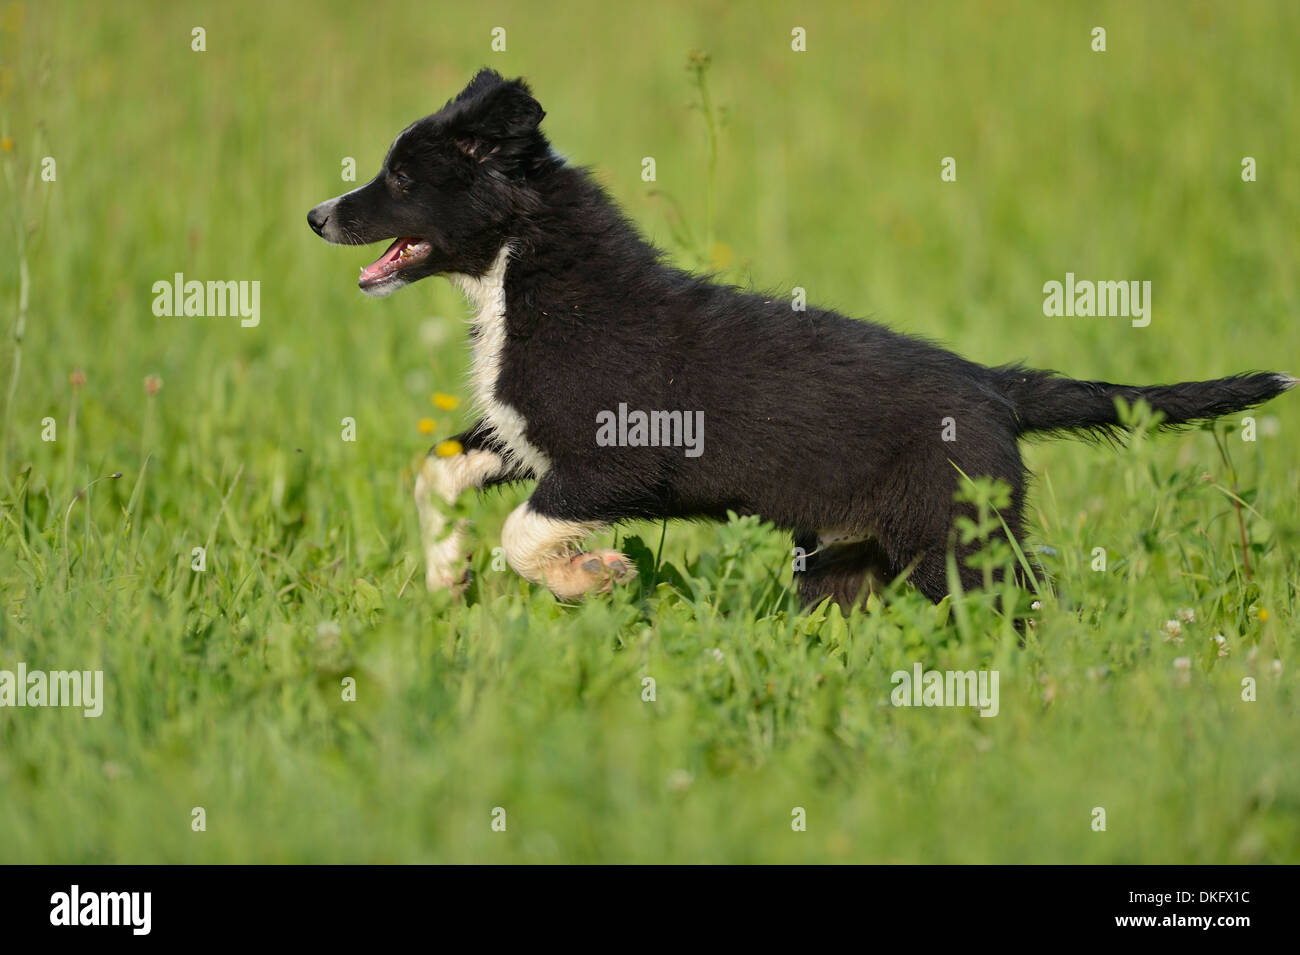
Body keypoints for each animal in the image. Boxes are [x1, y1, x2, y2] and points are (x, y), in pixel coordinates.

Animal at [309, 72, 1294, 613]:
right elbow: (435, 471)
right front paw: (448, 578)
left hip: (957, 541)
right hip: (847, 558)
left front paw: (594, 575)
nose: (317, 216)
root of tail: (996, 385)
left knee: (1026, 611)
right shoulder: (524, 434)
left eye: (400, 178)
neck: (521, 270)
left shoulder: (614, 460)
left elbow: (522, 531)